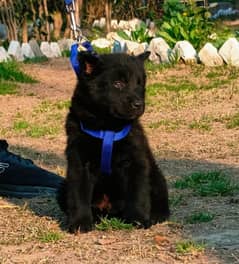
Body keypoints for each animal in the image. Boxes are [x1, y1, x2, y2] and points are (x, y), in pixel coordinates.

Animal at [57, 50, 170, 232]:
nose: (139, 104)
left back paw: (155, 216)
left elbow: (138, 192)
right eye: (118, 83)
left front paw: (138, 218)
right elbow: (79, 195)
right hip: (62, 187)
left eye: (139, 84)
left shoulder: (135, 161)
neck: (108, 128)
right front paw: (80, 223)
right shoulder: (79, 162)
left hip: (157, 177)